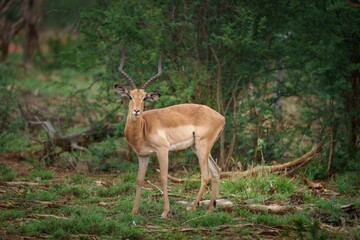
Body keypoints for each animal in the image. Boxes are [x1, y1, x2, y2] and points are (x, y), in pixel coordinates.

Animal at [114, 50, 225, 218]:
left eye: (145, 97)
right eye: (130, 96)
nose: (136, 111)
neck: (143, 127)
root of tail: (221, 117)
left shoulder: (162, 150)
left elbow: (163, 178)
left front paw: (165, 212)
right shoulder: (143, 155)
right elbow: (139, 180)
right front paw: (134, 211)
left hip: (202, 147)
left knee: (205, 175)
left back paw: (192, 208)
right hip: (198, 148)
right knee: (216, 172)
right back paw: (210, 210)